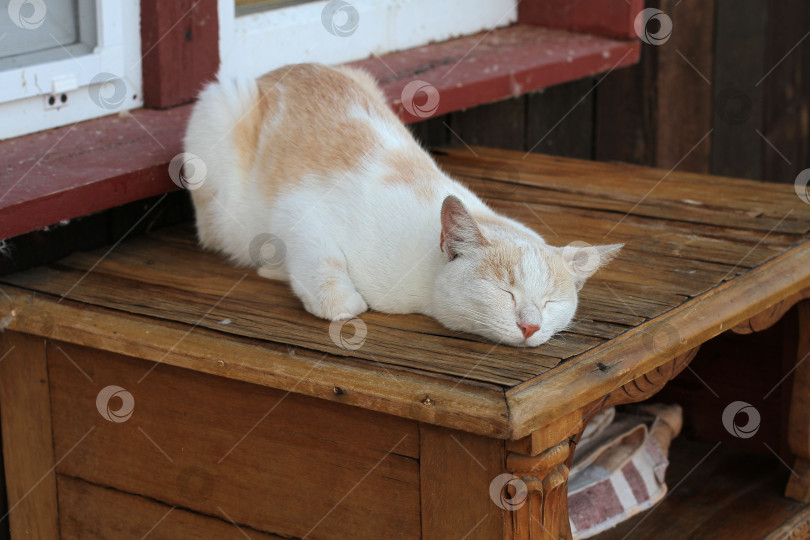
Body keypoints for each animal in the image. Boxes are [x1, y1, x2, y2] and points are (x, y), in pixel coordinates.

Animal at [185, 63, 620, 348]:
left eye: (550, 303)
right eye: (505, 292)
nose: (530, 326)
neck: (420, 293)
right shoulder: (299, 213)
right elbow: (327, 279)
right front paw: (340, 299)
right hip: (220, 109)